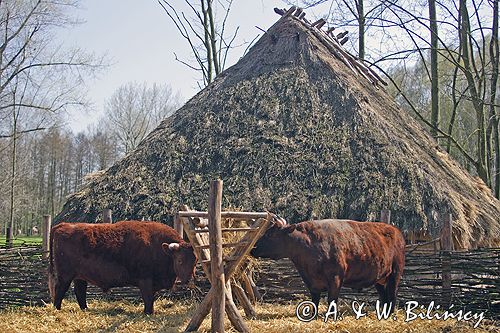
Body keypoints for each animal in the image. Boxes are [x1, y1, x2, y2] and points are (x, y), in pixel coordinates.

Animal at [48, 220, 197, 312]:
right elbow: (148, 299)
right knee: (59, 290)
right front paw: (148, 313)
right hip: (65, 276)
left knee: (80, 292)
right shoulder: (145, 281)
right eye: (179, 260)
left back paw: (85, 309)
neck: (158, 247)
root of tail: (63, 225)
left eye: (195, 261)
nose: (188, 280)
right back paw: (57, 309)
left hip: (80, 277)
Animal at [252, 218, 404, 312]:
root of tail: (396, 231)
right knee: (384, 297)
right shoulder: (312, 283)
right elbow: (315, 301)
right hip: (379, 278)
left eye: (270, 235)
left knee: (392, 295)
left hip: (395, 273)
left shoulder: (336, 279)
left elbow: (332, 300)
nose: (253, 248)